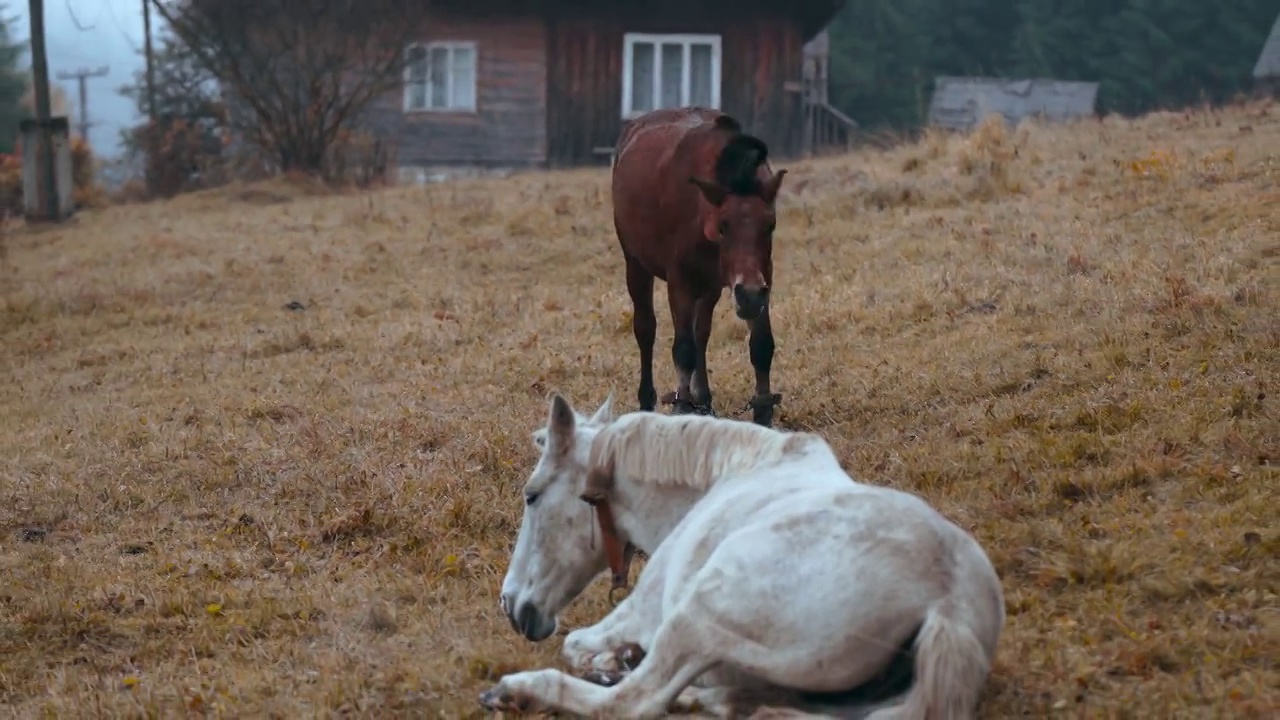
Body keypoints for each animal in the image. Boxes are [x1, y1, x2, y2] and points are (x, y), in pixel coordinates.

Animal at [483, 394, 1003, 712]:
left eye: (532, 496)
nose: (510, 603)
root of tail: (948, 603)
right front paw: (617, 661)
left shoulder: (639, 615)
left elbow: (576, 645)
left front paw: (611, 661)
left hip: (697, 618)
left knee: (633, 702)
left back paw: (520, 690)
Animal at [611, 106, 783, 425]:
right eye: (724, 226)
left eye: (770, 225)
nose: (749, 295)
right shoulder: (680, 281)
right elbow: (683, 349)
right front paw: (680, 406)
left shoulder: (761, 276)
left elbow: (761, 345)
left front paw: (763, 410)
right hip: (636, 264)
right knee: (646, 329)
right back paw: (649, 400)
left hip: (712, 285)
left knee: (701, 331)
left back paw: (702, 400)